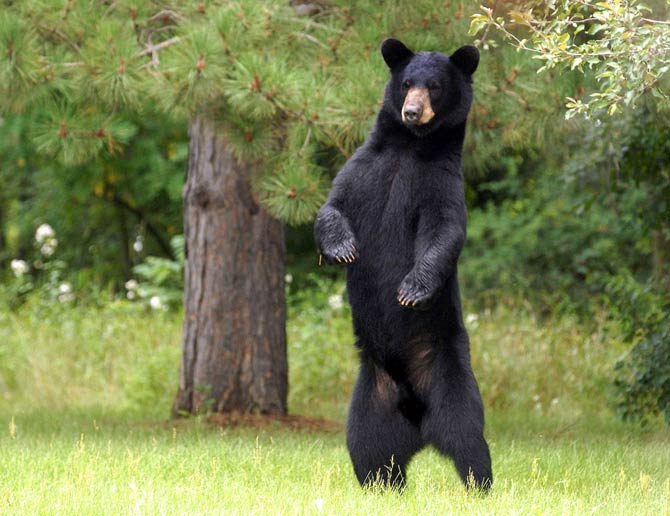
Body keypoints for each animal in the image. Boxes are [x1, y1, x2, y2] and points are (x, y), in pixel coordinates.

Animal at [316, 40, 494, 492]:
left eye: (434, 86)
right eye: (408, 83)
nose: (412, 111)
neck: (410, 146)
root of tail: (416, 414)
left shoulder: (440, 183)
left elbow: (444, 230)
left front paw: (413, 288)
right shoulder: (363, 168)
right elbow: (331, 207)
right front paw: (342, 248)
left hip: (448, 374)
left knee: (467, 436)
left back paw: (480, 486)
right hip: (371, 395)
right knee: (368, 445)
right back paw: (381, 485)